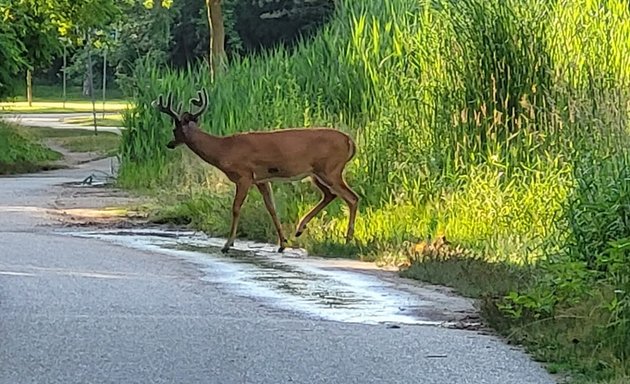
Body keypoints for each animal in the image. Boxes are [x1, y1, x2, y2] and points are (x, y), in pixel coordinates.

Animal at [152, 88, 360, 254]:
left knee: (352, 197)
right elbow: (271, 208)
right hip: (317, 173)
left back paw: (348, 240)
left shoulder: (244, 175)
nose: (170, 144)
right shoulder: (261, 179)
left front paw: (228, 244)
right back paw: (300, 229)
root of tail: (350, 141)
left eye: (174, 130)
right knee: (330, 195)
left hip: (330, 169)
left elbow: (236, 208)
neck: (223, 149)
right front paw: (282, 244)